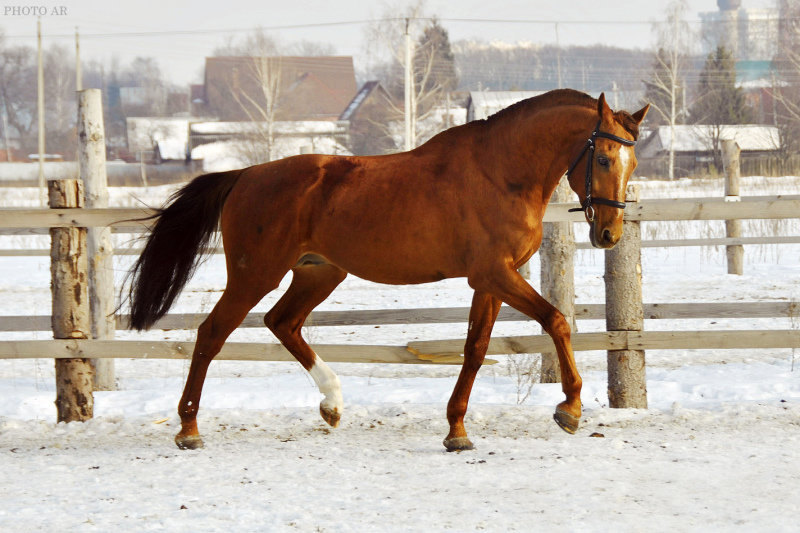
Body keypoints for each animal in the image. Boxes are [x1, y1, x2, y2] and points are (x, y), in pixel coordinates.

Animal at [126, 89, 648, 450]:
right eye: (604, 158)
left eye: (633, 161)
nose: (609, 235)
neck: (500, 173)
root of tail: (244, 176)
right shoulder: (494, 275)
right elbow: (556, 320)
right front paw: (570, 408)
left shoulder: (491, 281)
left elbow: (476, 349)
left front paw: (457, 430)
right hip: (256, 274)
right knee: (212, 333)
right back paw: (189, 429)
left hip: (319, 272)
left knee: (283, 323)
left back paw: (332, 405)